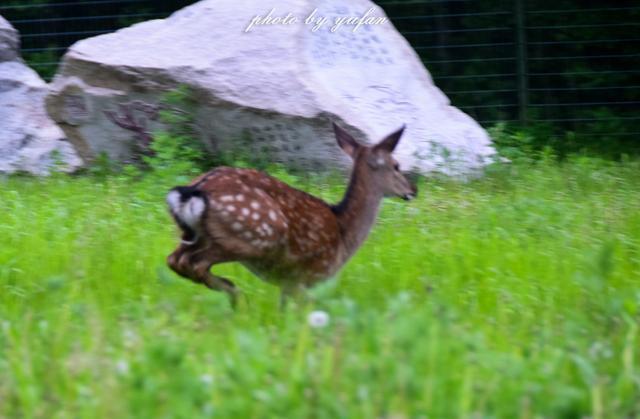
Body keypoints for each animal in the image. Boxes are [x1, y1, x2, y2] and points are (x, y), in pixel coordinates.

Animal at [166, 121, 416, 308]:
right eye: (396, 165)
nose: (413, 190)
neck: (344, 233)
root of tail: (195, 190)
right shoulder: (308, 275)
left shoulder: (288, 281)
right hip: (250, 237)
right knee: (195, 262)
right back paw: (235, 294)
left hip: (191, 235)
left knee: (175, 259)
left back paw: (233, 294)